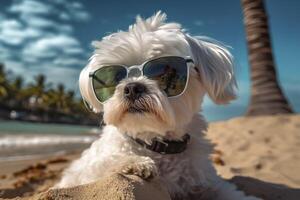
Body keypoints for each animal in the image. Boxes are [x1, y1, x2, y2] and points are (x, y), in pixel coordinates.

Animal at [55, 12, 260, 200]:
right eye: (116, 77)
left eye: (162, 68)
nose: (132, 87)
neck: (156, 143)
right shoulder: (86, 172)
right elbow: (102, 164)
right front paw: (135, 163)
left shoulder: (207, 180)